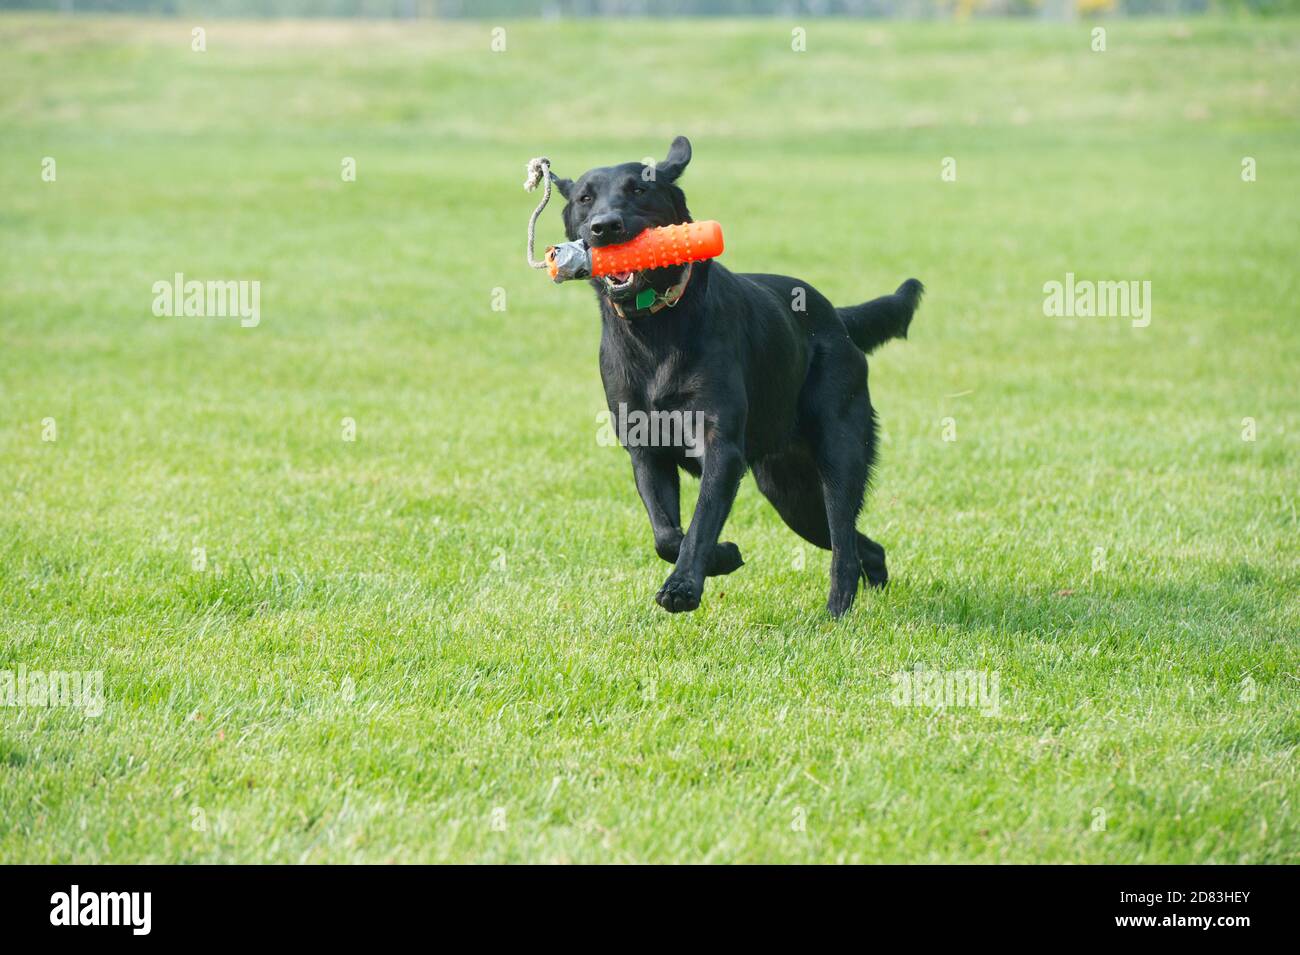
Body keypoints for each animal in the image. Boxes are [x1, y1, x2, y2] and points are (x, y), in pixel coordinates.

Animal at [548, 138, 925, 621]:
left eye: (638, 190)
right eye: (585, 198)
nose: (605, 227)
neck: (655, 328)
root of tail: (839, 319)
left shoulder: (721, 448)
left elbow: (699, 524)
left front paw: (684, 587)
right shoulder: (645, 450)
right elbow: (666, 535)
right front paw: (722, 557)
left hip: (838, 455)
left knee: (843, 542)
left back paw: (837, 612)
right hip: (789, 493)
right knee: (863, 546)